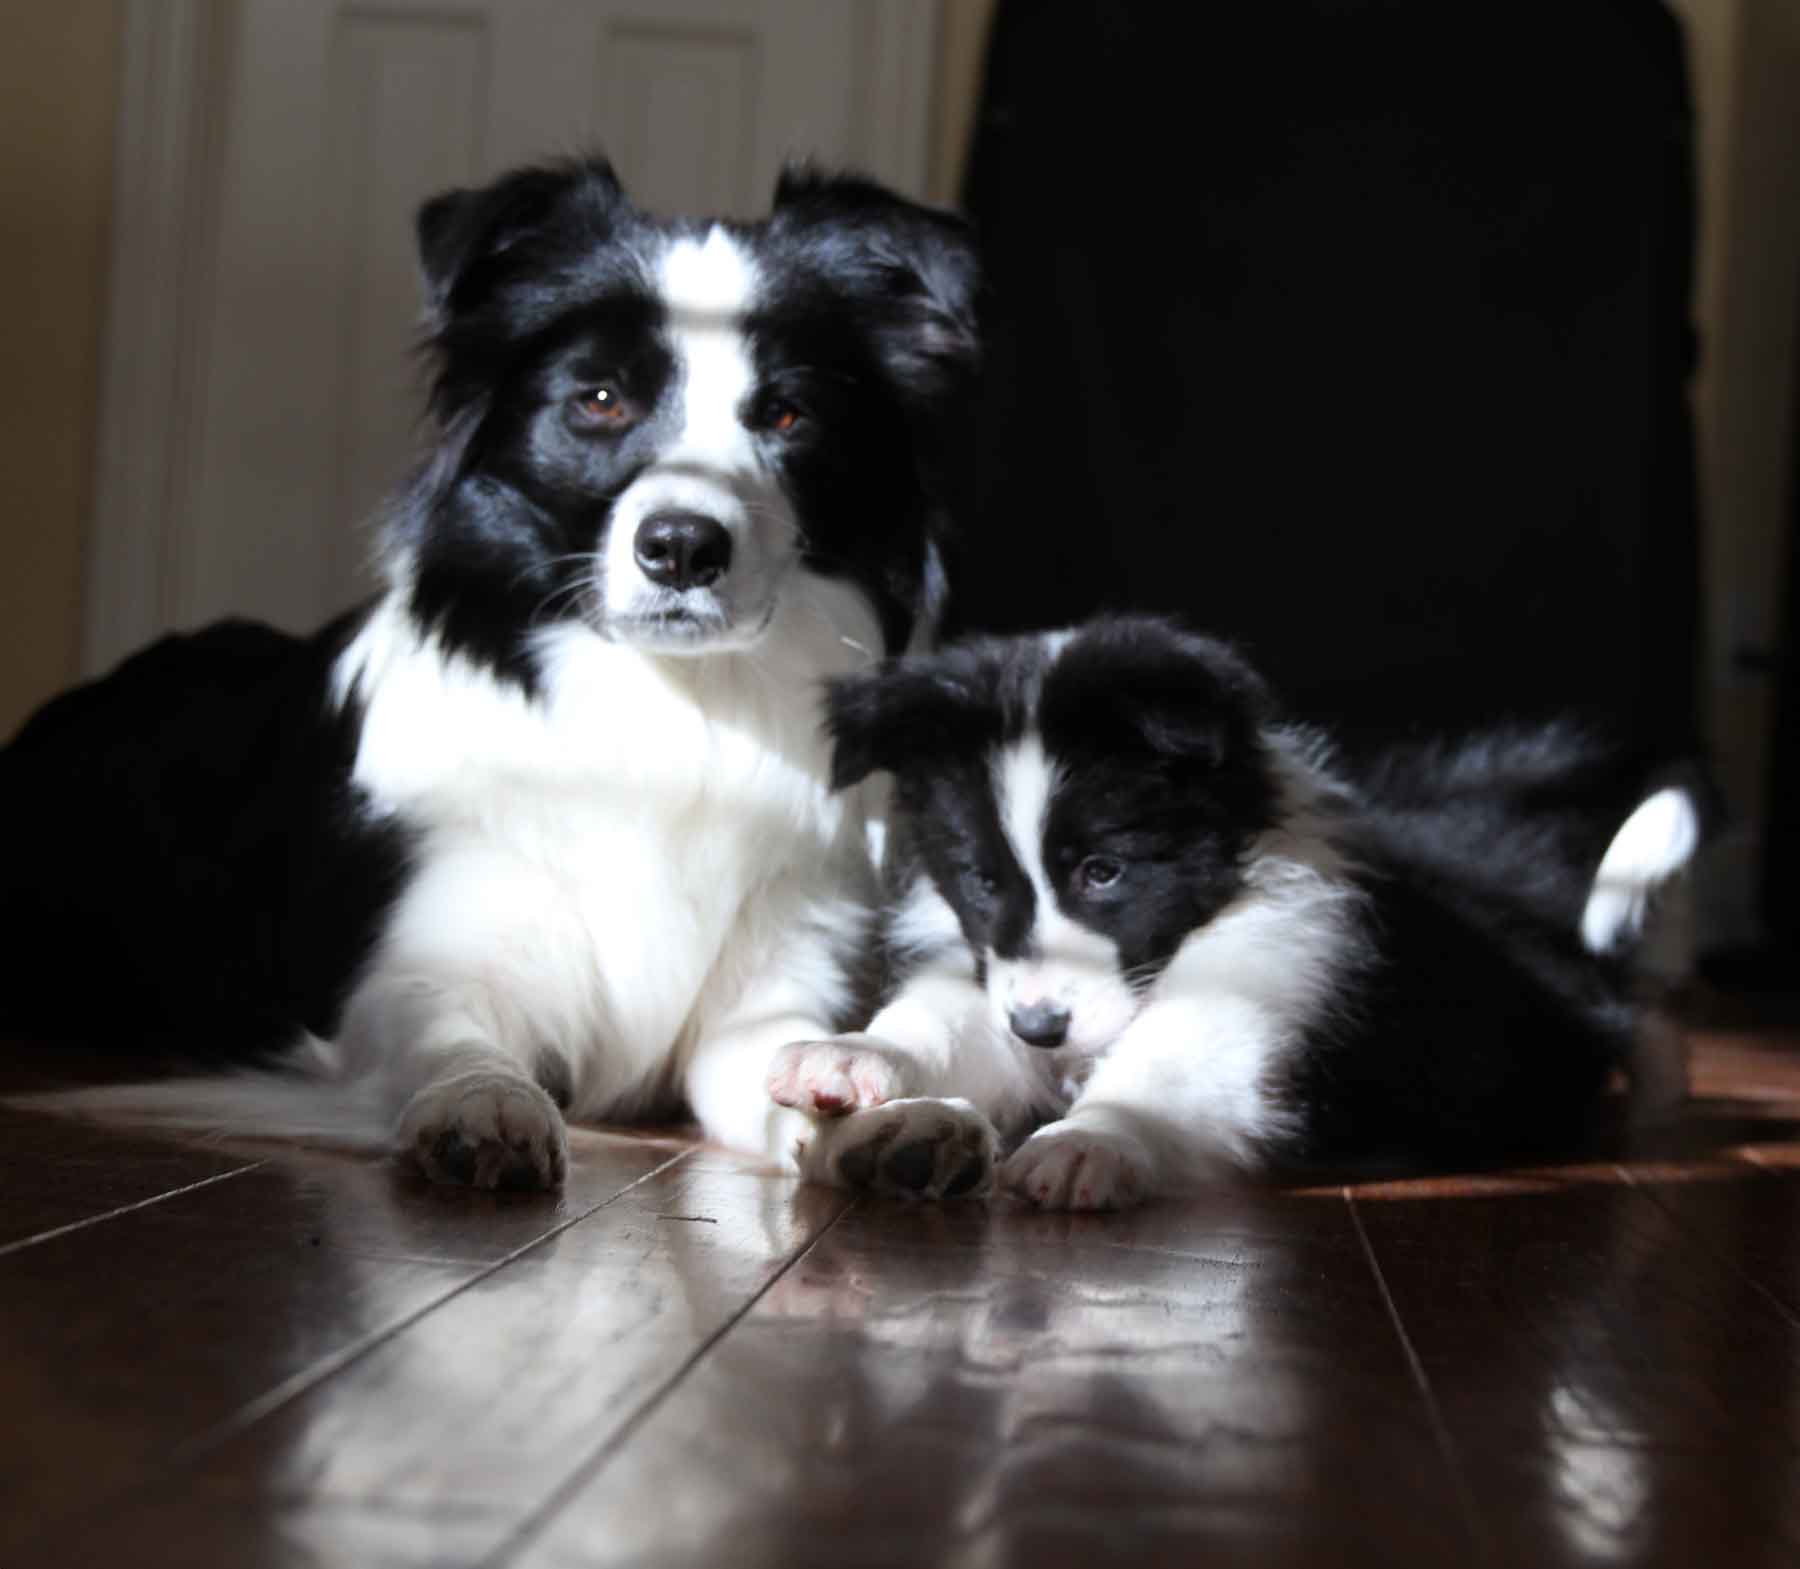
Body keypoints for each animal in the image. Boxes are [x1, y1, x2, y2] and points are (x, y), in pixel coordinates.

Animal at [3, 156, 972, 1187]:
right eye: (600, 400)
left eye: (788, 414)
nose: (682, 547)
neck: (668, 697)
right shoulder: (421, 966)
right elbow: (455, 1040)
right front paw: (482, 1104)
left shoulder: (765, 990)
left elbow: (790, 1065)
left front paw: (883, 1119)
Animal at [774, 618, 1699, 1209]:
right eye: (981, 880)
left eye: (1105, 872)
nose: (1041, 1029)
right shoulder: (997, 977)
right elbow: (951, 1019)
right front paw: (867, 1071)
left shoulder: (1269, 966)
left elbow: (1181, 1058)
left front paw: (1096, 1136)